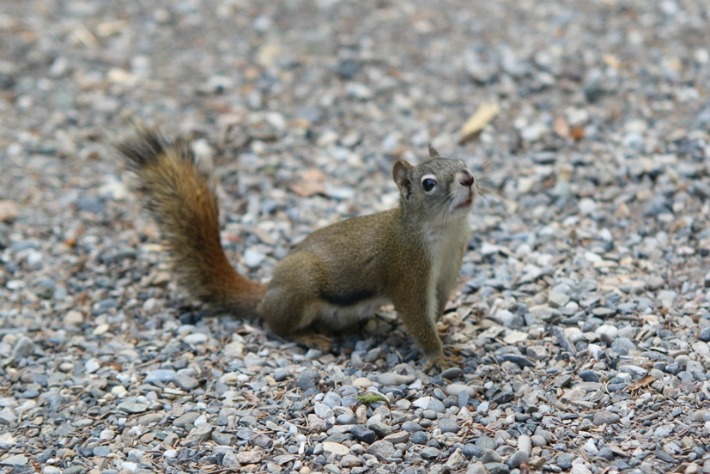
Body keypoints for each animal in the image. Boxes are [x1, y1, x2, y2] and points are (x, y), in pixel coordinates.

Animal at [116, 127, 476, 369]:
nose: (468, 179)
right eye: (428, 184)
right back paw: (307, 337)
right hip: (300, 284)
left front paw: (444, 330)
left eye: (464, 162)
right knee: (275, 324)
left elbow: (436, 306)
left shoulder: (449, 268)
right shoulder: (407, 269)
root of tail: (268, 291)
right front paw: (438, 356)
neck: (445, 231)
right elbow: (416, 314)